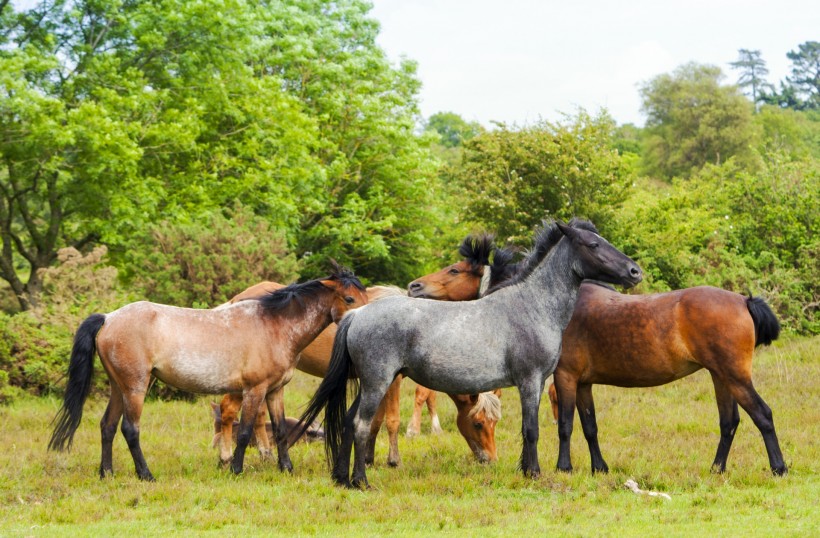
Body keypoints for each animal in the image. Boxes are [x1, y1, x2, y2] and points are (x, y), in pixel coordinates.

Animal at [44, 264, 366, 478]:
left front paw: (286, 468)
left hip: (117, 386)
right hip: (135, 387)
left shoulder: (275, 391)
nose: (364, 325)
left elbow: (281, 431)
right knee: (129, 429)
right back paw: (145, 474)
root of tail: (109, 318)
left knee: (107, 426)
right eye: (349, 299)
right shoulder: (254, 390)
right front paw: (235, 469)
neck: (274, 325)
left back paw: (106, 473)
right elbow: (245, 431)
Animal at [298, 218, 644, 486]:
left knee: (347, 421)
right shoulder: (531, 380)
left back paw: (341, 478)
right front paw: (533, 473)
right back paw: (360, 481)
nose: (634, 271)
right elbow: (531, 429)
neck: (531, 305)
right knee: (360, 424)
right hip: (377, 382)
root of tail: (357, 314)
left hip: (369, 383)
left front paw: (525, 469)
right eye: (593, 244)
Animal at [410, 239, 788, 474]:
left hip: (735, 376)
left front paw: (563, 467)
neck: (549, 304)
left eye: (454, 270)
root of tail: (743, 300)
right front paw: (599, 468)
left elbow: (565, 424)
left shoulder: (564, 377)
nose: (414, 286)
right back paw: (716, 468)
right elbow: (590, 426)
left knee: (763, 415)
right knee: (729, 422)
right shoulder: (584, 383)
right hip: (719, 377)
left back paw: (778, 467)